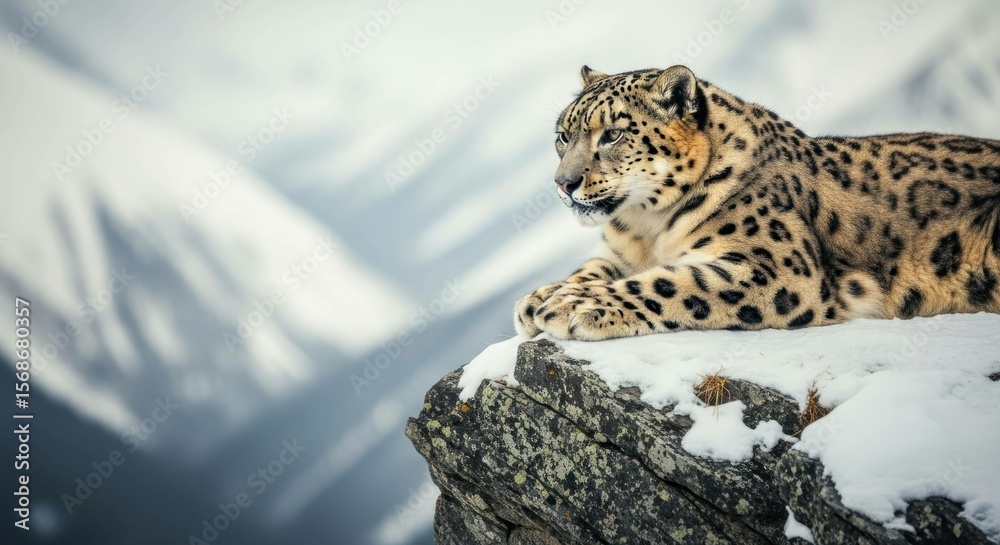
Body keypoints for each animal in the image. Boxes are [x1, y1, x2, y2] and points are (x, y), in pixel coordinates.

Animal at [514, 64, 1000, 341]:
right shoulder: (619, 254)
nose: (563, 183)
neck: (647, 227)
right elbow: (593, 269)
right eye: (562, 136)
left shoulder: (777, 268)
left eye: (612, 134)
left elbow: (671, 283)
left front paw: (574, 306)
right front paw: (540, 297)